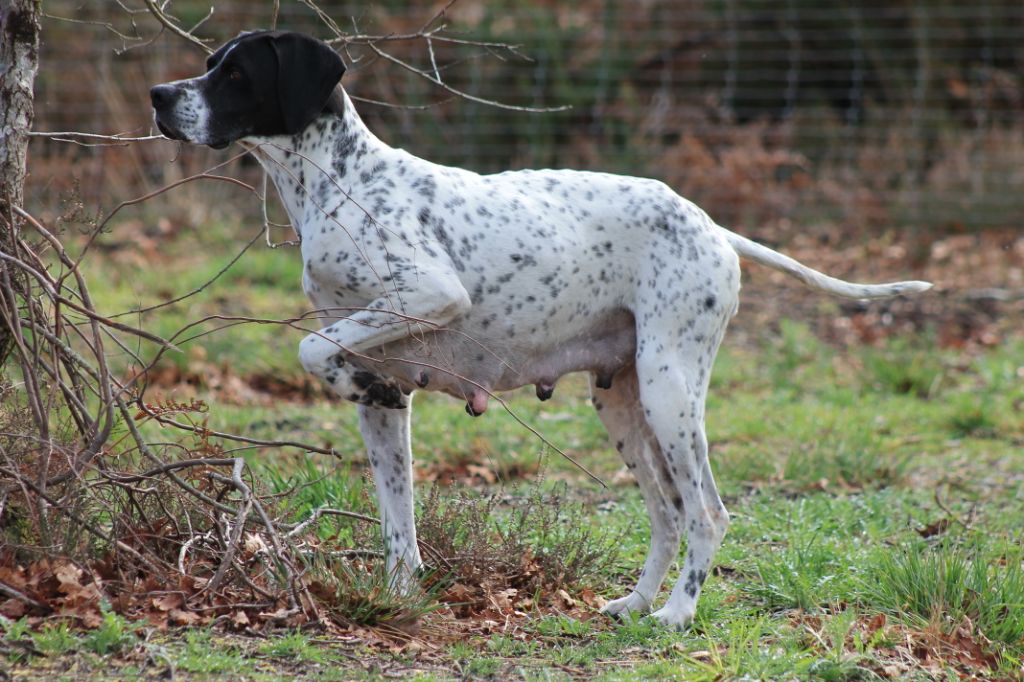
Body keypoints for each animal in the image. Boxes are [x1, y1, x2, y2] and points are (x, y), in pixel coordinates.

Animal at [149, 30, 929, 626]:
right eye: (212, 63)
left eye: (237, 74)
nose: (159, 96)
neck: (338, 185)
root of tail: (713, 226)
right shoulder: (386, 409)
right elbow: (398, 523)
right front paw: (400, 597)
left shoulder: (431, 292)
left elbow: (311, 347)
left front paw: (340, 371)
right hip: (625, 404)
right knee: (668, 514)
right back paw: (635, 604)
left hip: (673, 392)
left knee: (707, 514)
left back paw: (677, 614)